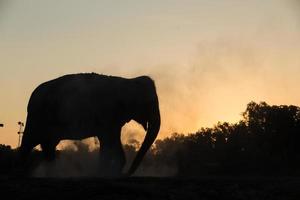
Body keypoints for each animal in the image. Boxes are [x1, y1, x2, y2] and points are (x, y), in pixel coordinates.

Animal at [19, 72, 161, 176]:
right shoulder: (107, 114)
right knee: (29, 143)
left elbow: (111, 141)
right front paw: (103, 173)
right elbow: (107, 140)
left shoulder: (114, 119)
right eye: (149, 104)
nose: (126, 174)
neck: (127, 81)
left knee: (48, 146)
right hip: (37, 118)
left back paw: (53, 174)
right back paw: (22, 173)